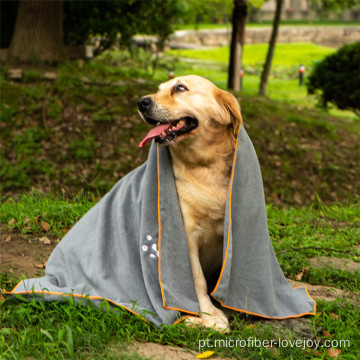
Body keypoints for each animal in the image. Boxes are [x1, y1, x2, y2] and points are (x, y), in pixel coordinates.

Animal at [138, 74, 242, 330]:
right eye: (159, 89)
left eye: (180, 88)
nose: (141, 102)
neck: (206, 167)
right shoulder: (188, 233)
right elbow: (197, 280)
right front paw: (208, 315)